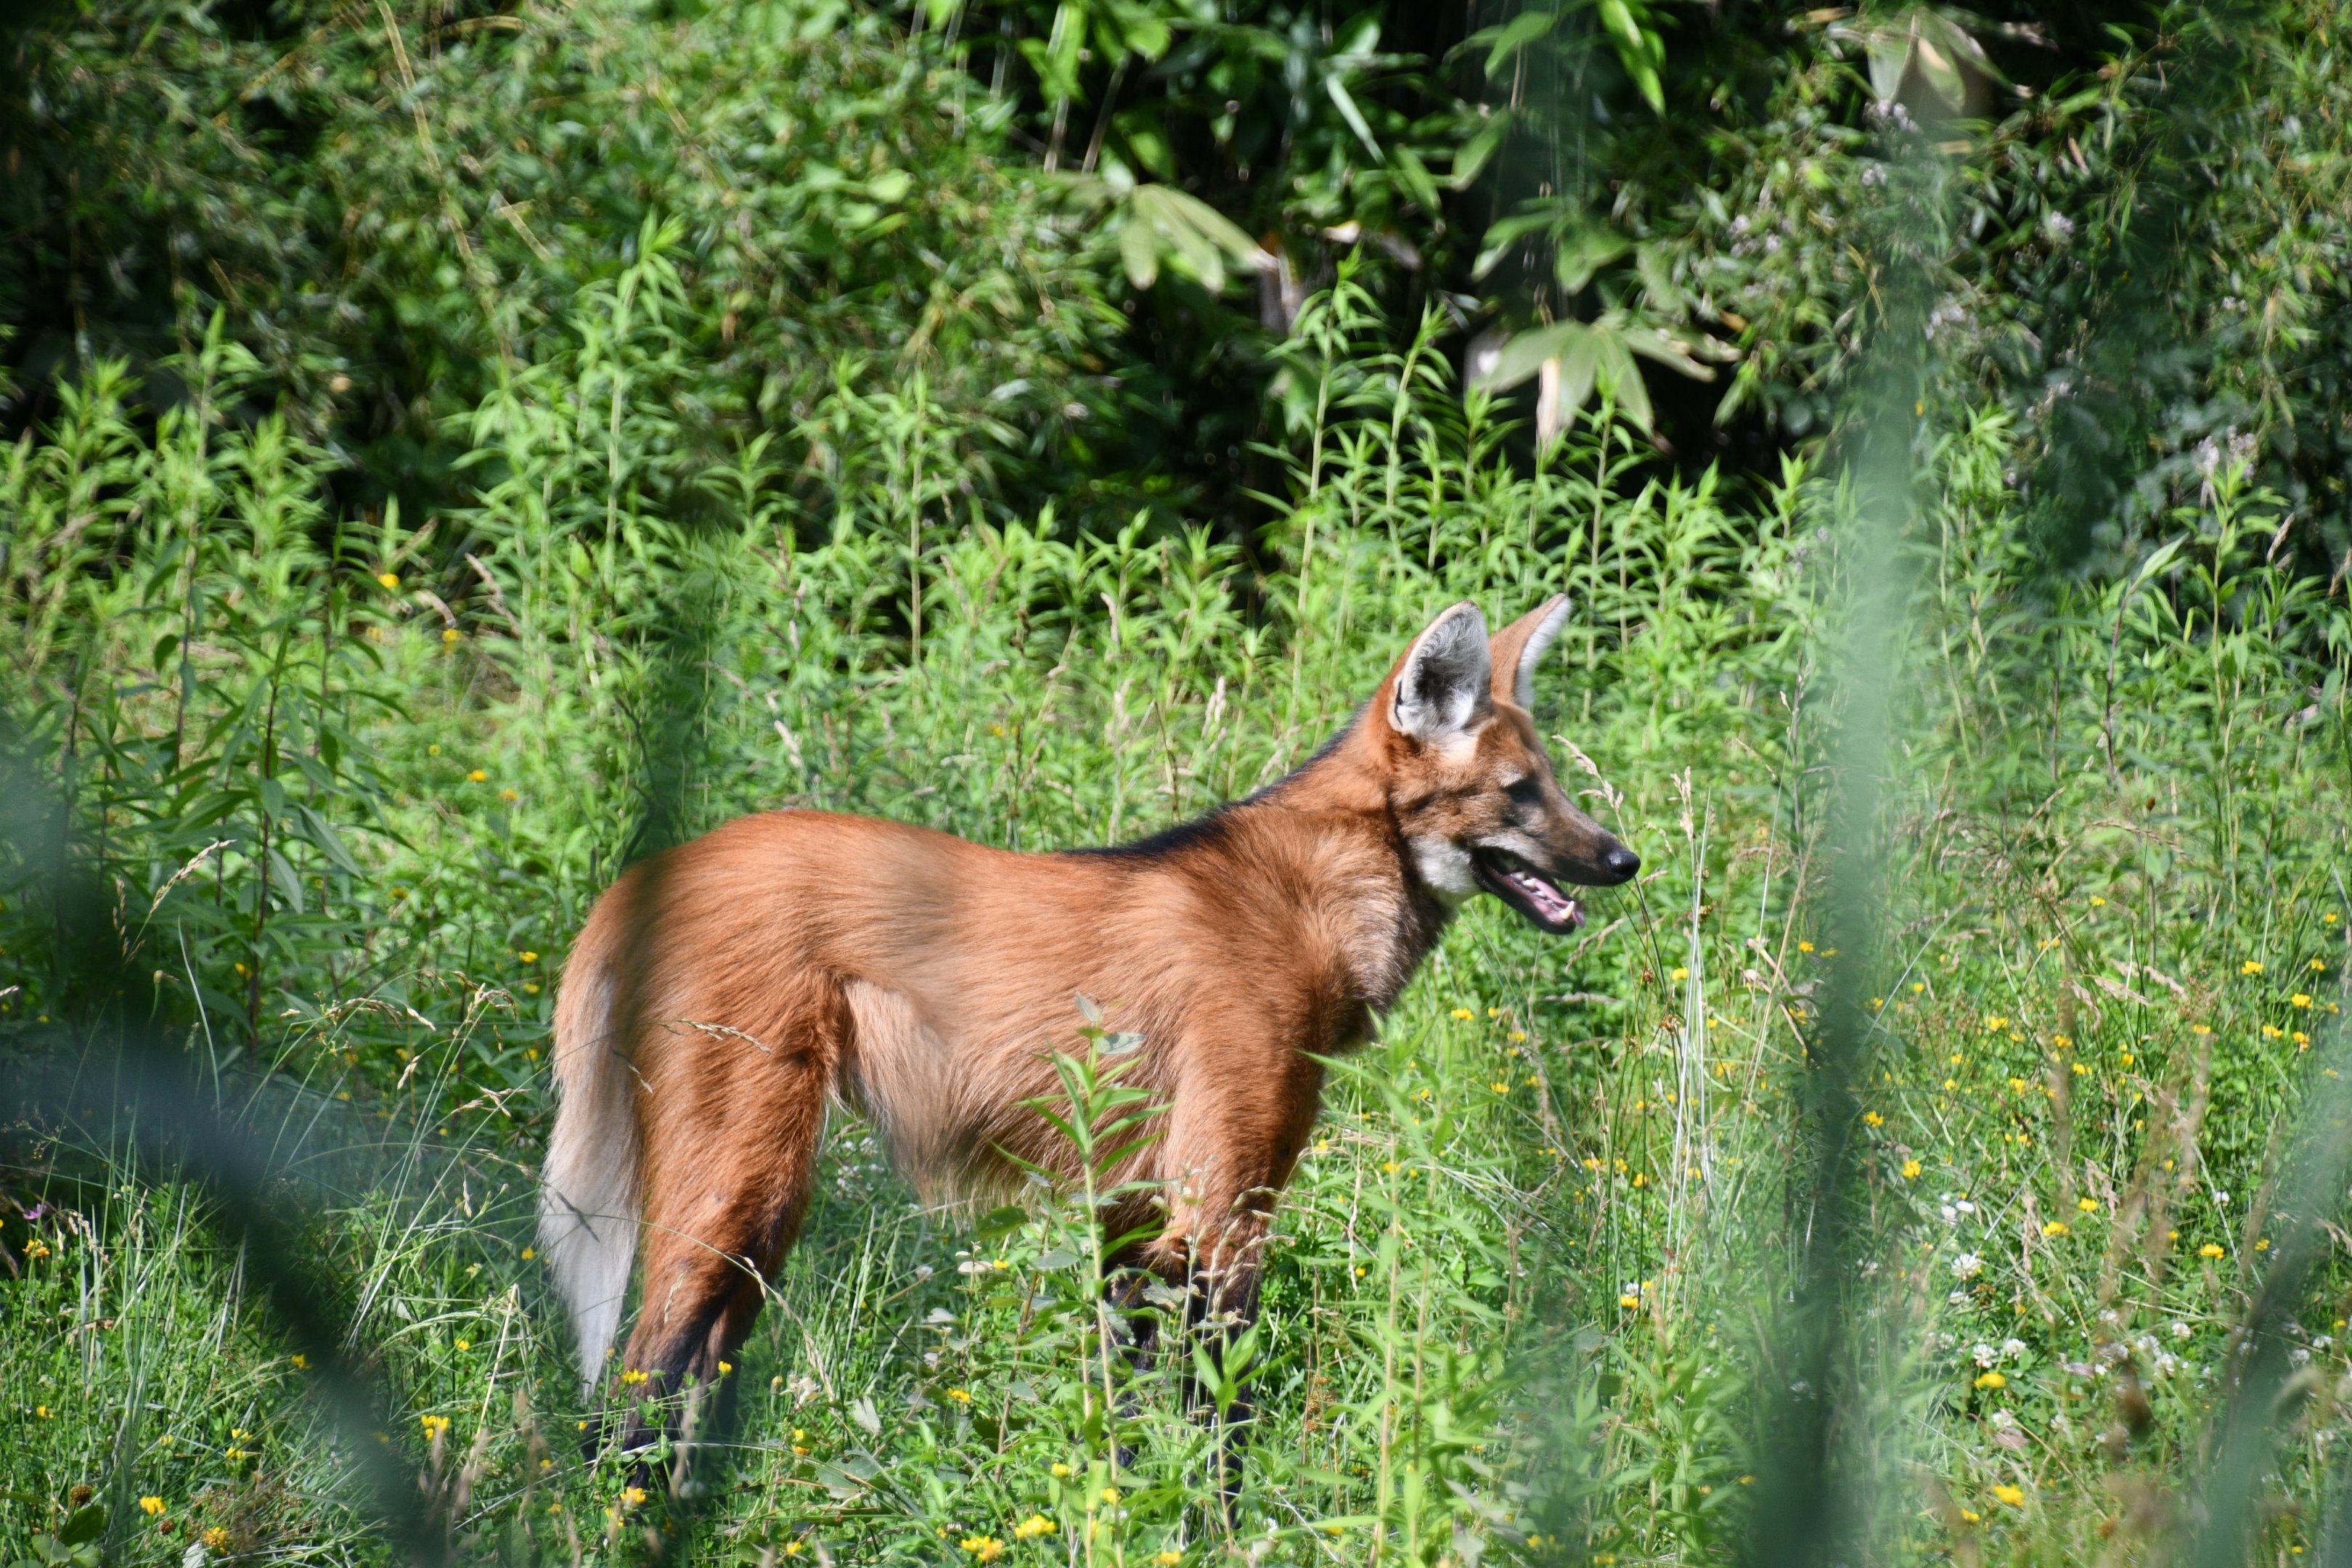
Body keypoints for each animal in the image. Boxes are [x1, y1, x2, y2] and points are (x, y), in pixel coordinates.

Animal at [539, 596, 1639, 1420]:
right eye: (1518, 792)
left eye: (1552, 783)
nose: (1624, 859)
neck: (1315, 900)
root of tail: (639, 877)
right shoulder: (1220, 1211)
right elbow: (1216, 1424)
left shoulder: (1138, 1211)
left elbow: (1132, 1426)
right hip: (747, 1180)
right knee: (636, 1390)